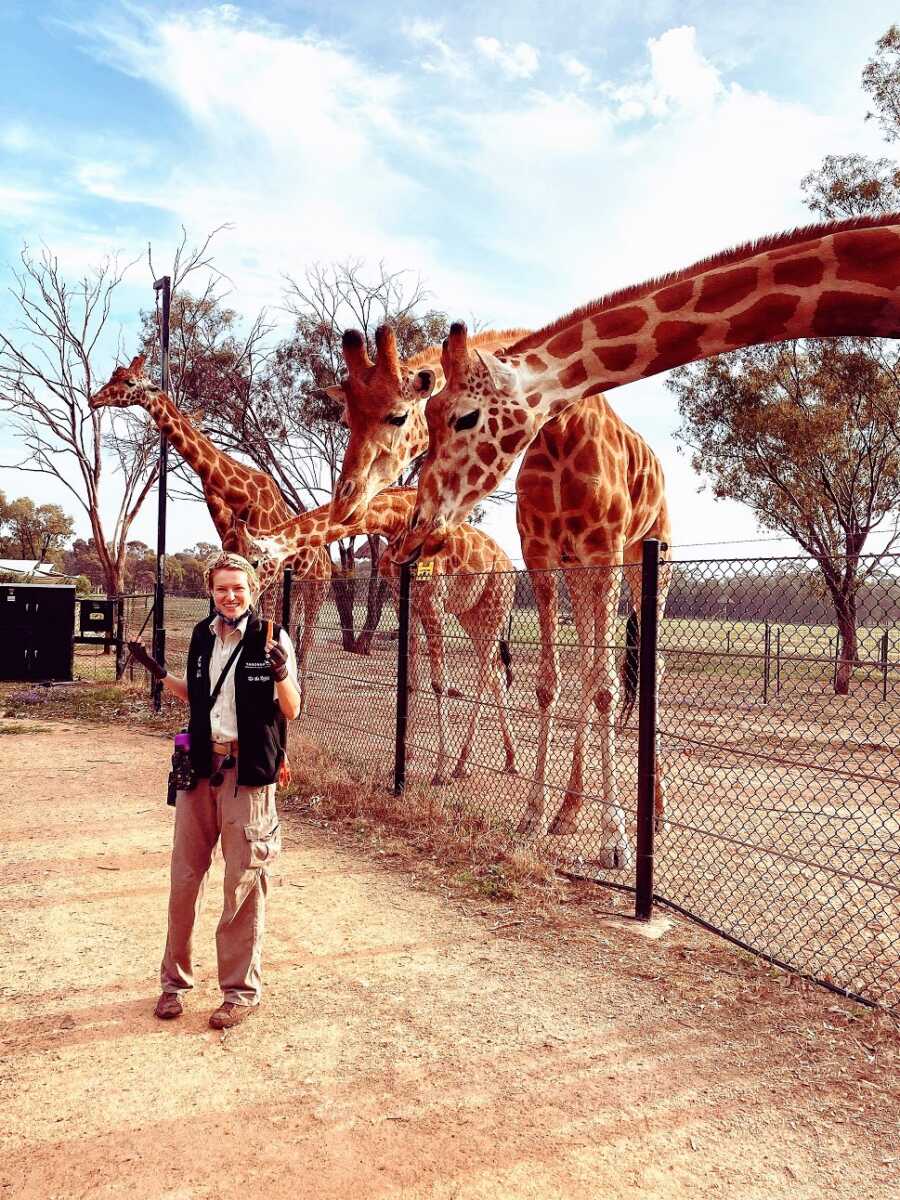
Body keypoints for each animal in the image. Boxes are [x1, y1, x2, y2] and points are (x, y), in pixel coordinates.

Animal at [88, 355, 331, 710]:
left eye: (130, 382)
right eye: (113, 376)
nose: (93, 399)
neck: (240, 496)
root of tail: (327, 560)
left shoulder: (266, 570)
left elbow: (258, 621)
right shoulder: (237, 560)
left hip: (318, 587)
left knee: (309, 633)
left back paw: (303, 696)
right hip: (298, 586)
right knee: (296, 630)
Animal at [247, 489, 518, 787]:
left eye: (255, 561)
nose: (247, 592)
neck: (395, 520)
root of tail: (511, 569)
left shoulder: (433, 597)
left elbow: (438, 683)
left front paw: (440, 771)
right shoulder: (406, 598)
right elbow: (411, 679)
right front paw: (405, 757)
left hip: (496, 605)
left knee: (486, 674)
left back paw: (461, 764)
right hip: (471, 614)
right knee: (494, 674)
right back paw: (509, 761)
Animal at [400, 216, 900, 864]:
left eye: (463, 417)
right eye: (426, 416)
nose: (420, 525)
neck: (561, 437)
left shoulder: (606, 550)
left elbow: (608, 688)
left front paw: (616, 839)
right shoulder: (542, 555)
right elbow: (552, 683)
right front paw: (536, 816)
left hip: (644, 562)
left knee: (639, 670)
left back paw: (650, 812)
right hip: (582, 571)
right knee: (595, 667)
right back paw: (570, 809)